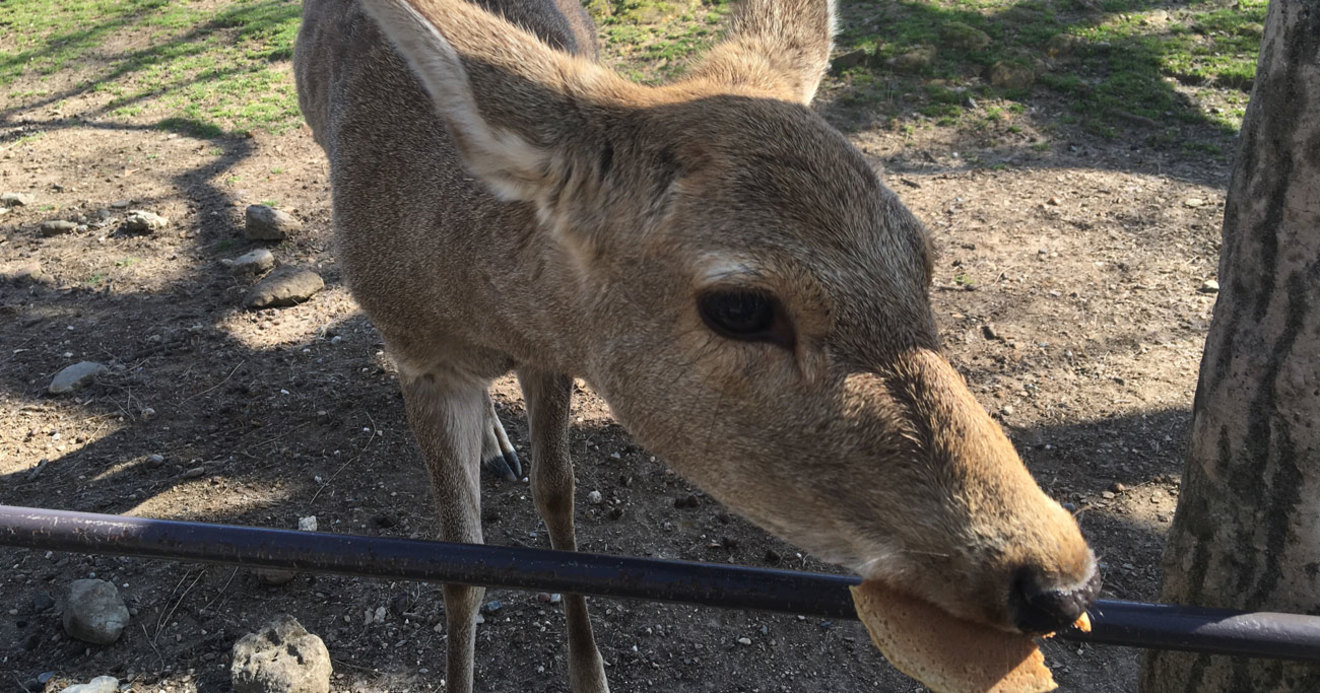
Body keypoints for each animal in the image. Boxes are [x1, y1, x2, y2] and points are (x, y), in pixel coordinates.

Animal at [297, 0, 1103, 686]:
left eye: (924, 255)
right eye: (740, 306)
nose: (1060, 582)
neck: (469, 290)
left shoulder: (551, 350)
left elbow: (556, 494)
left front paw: (590, 674)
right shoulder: (418, 356)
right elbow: (459, 566)